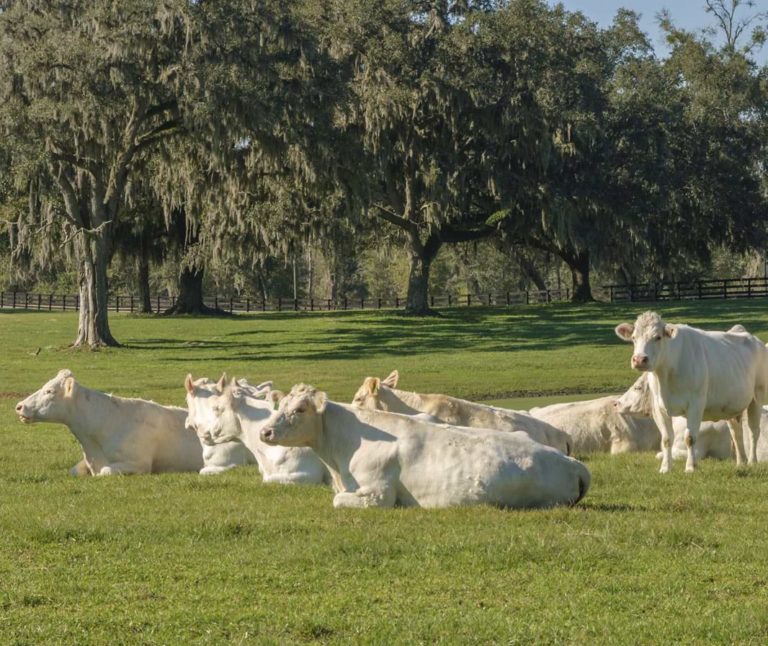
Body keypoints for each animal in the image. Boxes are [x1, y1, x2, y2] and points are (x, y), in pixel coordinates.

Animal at [260, 384, 592, 512]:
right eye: (281, 405)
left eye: (300, 409)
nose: (265, 431)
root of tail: (573, 463)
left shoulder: (378, 493)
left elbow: (339, 500)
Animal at [616, 312, 768, 474]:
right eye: (633, 337)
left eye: (658, 337)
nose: (639, 359)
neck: (666, 375)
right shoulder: (658, 407)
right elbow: (666, 439)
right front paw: (665, 468)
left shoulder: (696, 404)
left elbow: (690, 438)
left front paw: (690, 467)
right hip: (732, 405)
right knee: (736, 432)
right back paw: (741, 463)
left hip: (757, 397)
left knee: (753, 431)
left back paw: (752, 461)